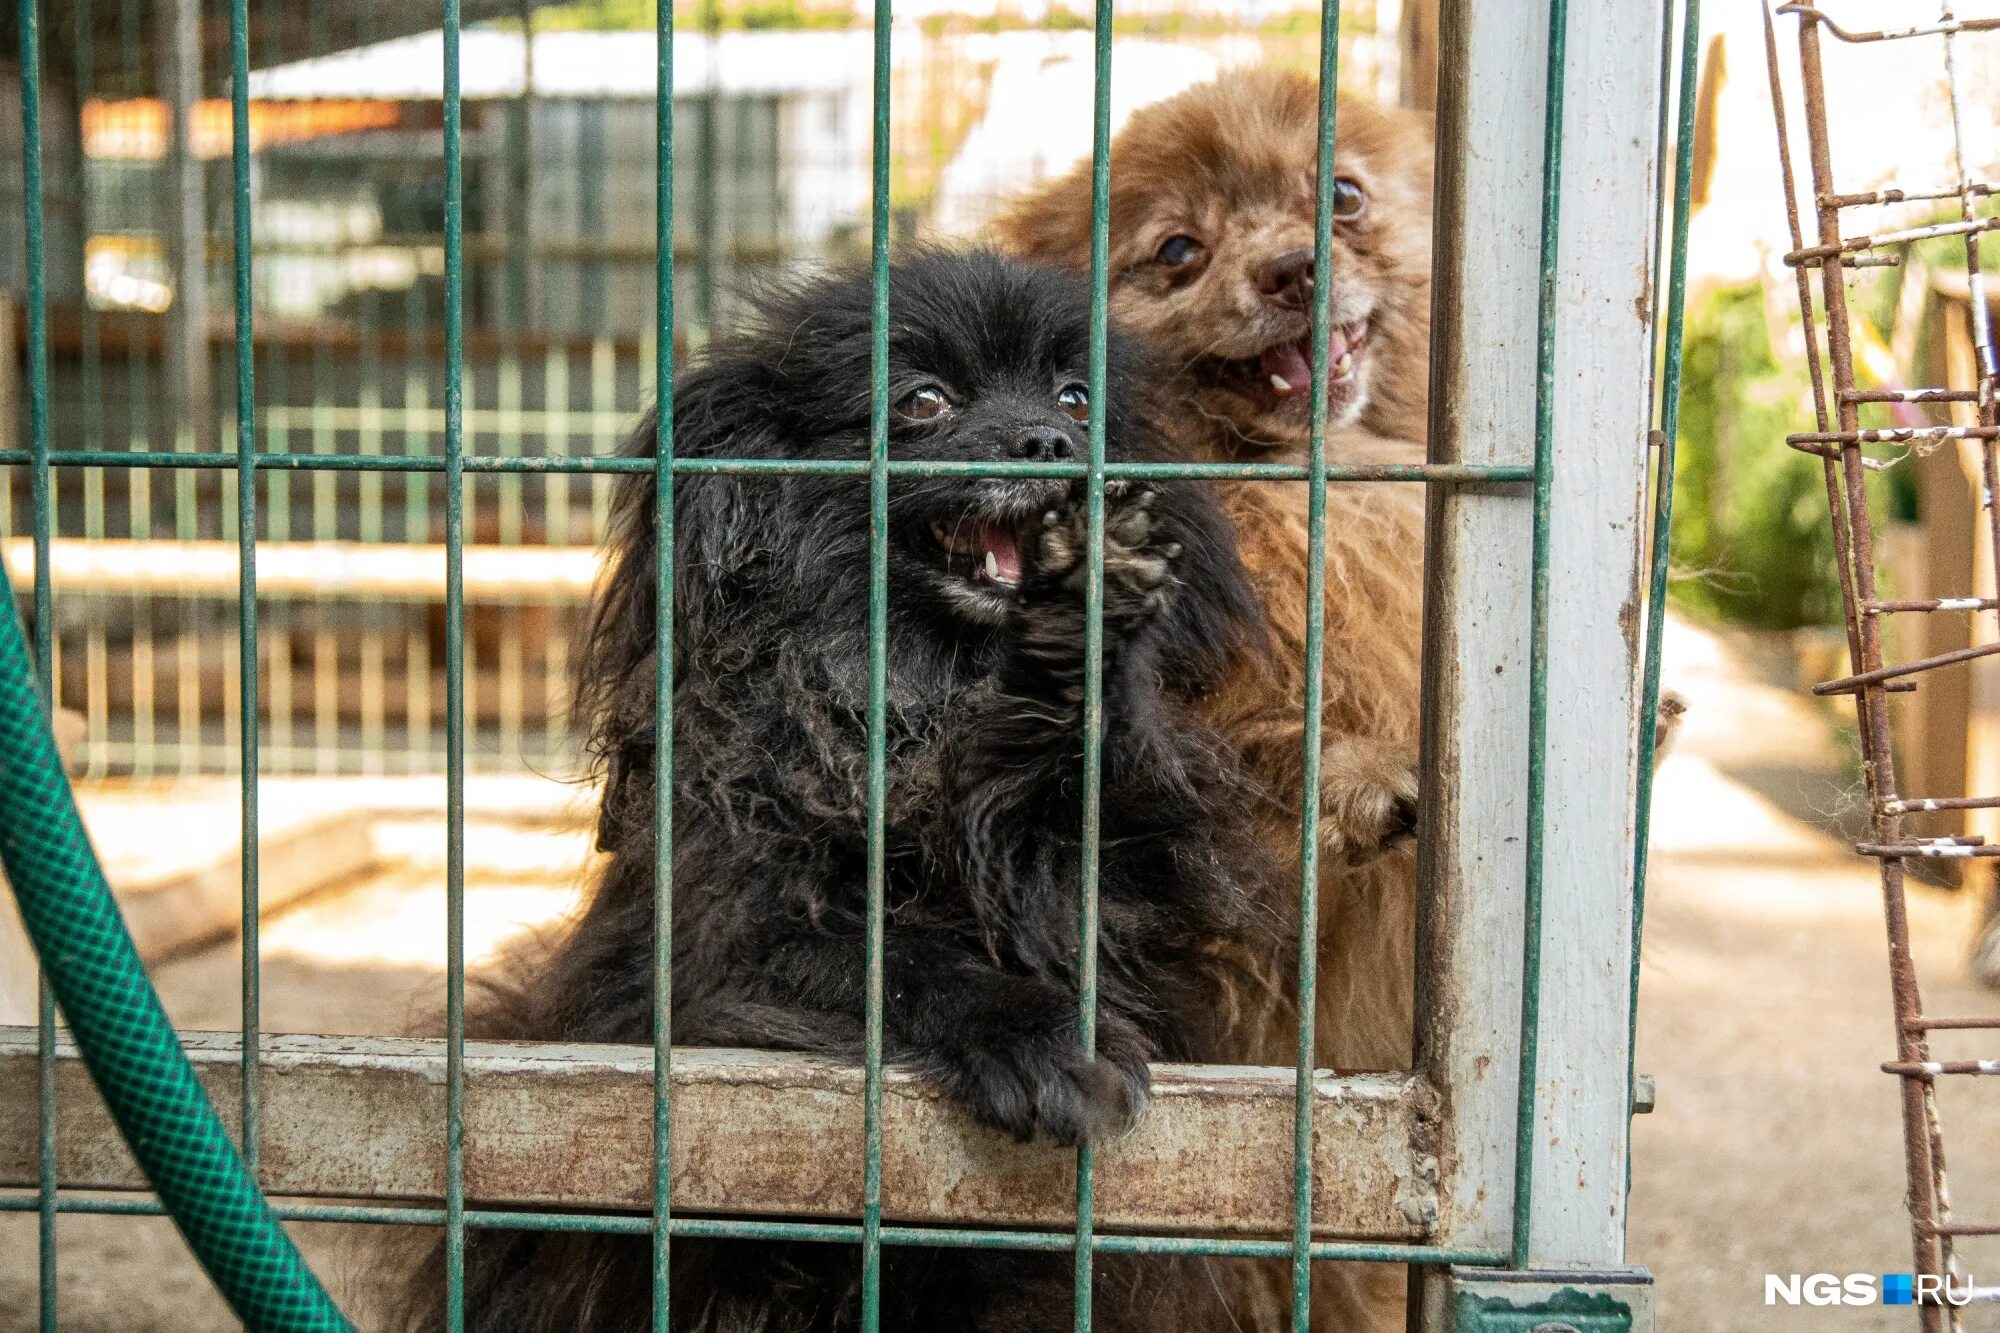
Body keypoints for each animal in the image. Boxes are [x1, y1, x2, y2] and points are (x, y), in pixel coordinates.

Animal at [416, 252, 1272, 1328]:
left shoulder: (1104, 885)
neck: (927, 695)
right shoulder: (717, 950)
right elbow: (888, 962)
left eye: (1077, 397)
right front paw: (1031, 1031)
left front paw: (1089, 633)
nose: (1052, 437)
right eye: (923, 401)